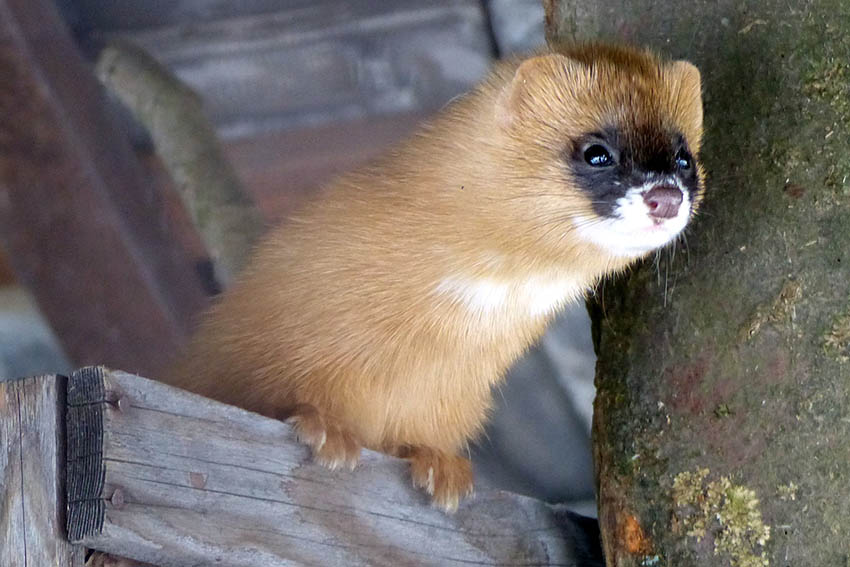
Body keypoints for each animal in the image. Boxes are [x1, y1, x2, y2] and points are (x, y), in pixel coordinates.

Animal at [164, 42, 704, 512]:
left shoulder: (451, 399)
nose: (666, 197)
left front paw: (438, 465)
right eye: (596, 151)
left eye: (685, 158)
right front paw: (326, 429)